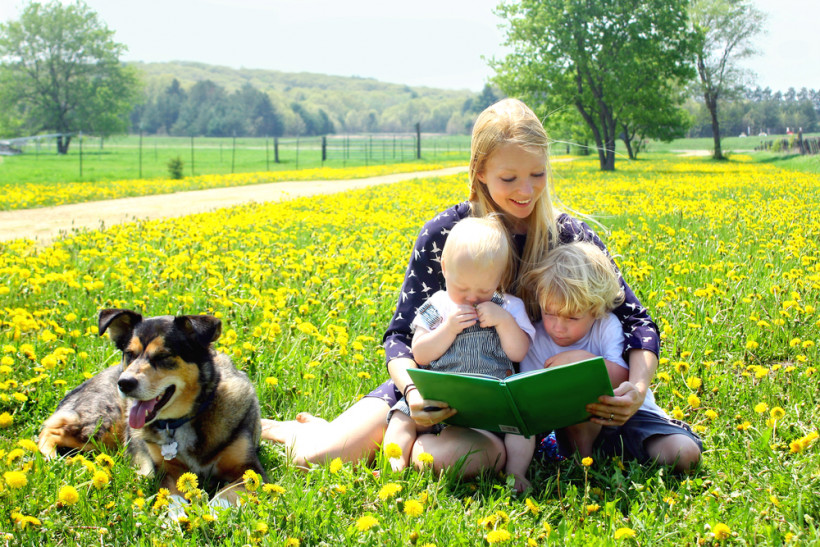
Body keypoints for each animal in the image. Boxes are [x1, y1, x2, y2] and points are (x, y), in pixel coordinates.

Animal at [39, 310, 266, 504]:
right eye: (129, 353)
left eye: (163, 356)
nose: (124, 383)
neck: (184, 420)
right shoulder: (165, 471)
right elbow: (173, 500)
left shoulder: (249, 470)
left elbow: (224, 496)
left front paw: (211, 515)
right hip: (100, 427)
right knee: (50, 429)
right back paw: (50, 457)